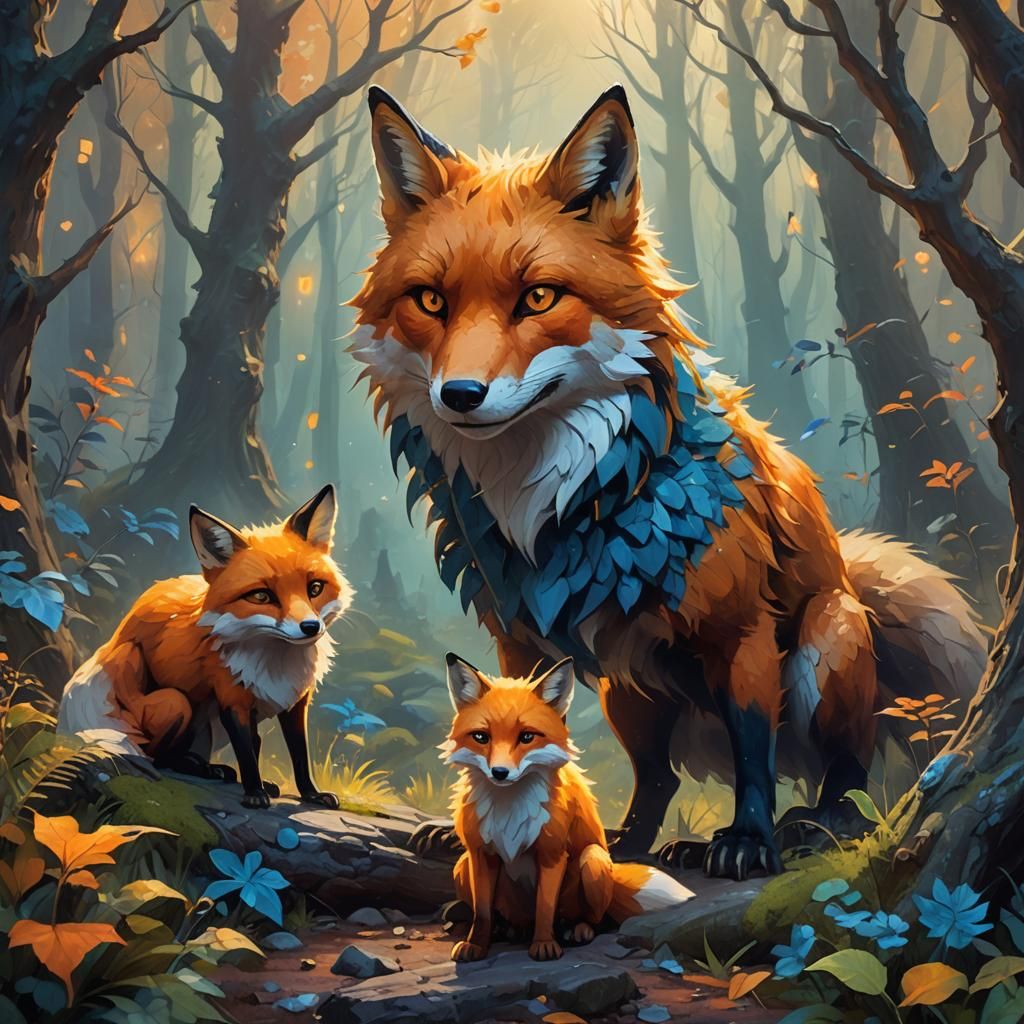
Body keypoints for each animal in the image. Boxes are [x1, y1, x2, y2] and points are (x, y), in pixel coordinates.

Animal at [57, 485, 351, 809]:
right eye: (261, 596)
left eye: (315, 588)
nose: (311, 627)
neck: (275, 663)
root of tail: (111, 645)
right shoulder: (231, 697)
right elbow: (247, 753)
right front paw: (254, 793)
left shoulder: (294, 701)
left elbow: (297, 754)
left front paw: (310, 794)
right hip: (175, 702)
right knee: (159, 758)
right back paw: (202, 769)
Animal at [350, 84, 988, 880]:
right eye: (431, 301)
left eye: (538, 298)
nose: (459, 395)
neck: (551, 497)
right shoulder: (519, 635)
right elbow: (505, 723)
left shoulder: (742, 631)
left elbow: (754, 754)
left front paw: (748, 840)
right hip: (628, 686)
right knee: (657, 781)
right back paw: (629, 841)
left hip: (827, 637)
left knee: (848, 771)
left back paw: (811, 825)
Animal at [443, 653, 693, 962]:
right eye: (481, 737)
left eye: (527, 737)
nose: (499, 773)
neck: (509, 809)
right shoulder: (480, 855)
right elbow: (483, 913)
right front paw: (476, 946)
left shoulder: (552, 854)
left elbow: (545, 908)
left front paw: (544, 945)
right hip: (461, 865)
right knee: (510, 918)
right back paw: (508, 930)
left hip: (593, 859)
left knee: (595, 918)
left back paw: (577, 930)